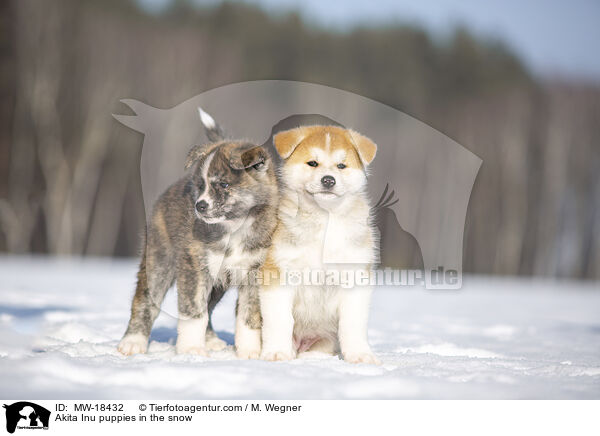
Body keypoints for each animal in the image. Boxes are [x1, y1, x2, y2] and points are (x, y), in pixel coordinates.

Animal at [118, 108, 278, 358]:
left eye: (223, 185)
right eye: (200, 186)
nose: (199, 206)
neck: (233, 229)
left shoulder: (254, 273)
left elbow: (248, 317)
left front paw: (250, 353)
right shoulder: (194, 267)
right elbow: (193, 312)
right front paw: (192, 350)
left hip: (217, 282)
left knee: (209, 308)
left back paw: (211, 341)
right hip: (159, 261)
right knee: (144, 300)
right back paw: (132, 342)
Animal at [258, 125, 380, 364]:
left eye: (341, 165)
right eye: (312, 163)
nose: (328, 180)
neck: (324, 219)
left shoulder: (355, 276)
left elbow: (352, 323)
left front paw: (360, 355)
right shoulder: (278, 273)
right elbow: (280, 320)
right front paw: (277, 352)